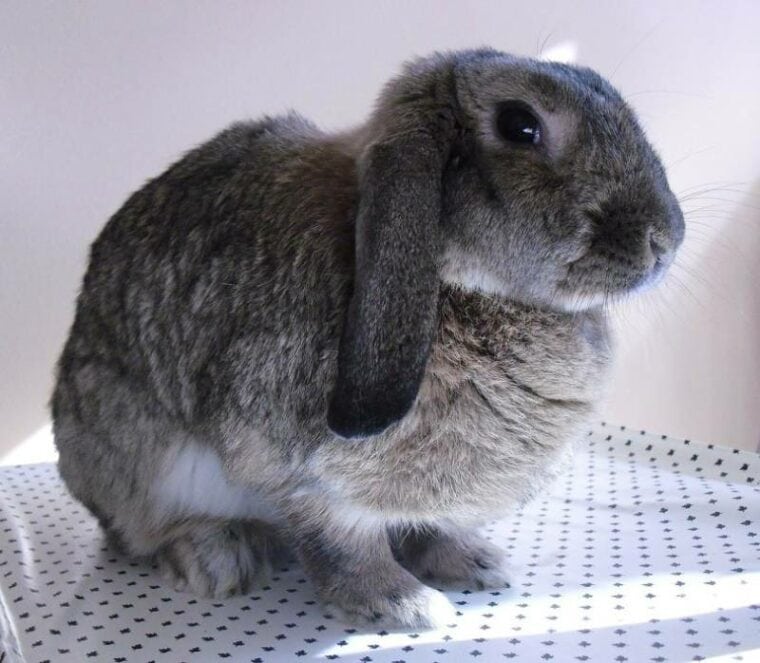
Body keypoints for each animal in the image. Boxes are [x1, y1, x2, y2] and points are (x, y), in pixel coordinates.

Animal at [52, 47, 684, 628]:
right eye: (520, 125)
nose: (666, 239)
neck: (454, 279)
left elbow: (428, 529)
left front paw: (474, 563)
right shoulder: (304, 476)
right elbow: (345, 546)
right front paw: (406, 605)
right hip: (144, 463)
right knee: (142, 532)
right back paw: (218, 556)